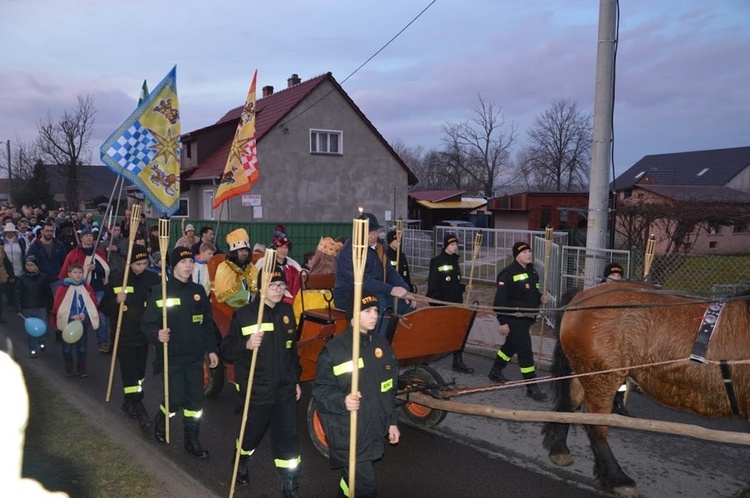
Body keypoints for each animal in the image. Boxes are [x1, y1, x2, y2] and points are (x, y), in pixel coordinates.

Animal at [544, 282, 748, 496]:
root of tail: (582, 297)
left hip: (585, 372)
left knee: (571, 404)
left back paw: (559, 448)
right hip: (602, 377)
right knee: (594, 424)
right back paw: (617, 478)